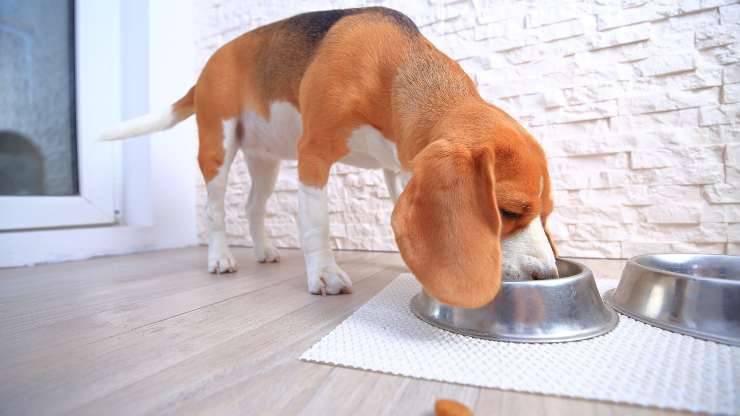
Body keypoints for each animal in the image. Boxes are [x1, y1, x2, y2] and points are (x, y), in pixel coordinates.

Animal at [102, 5, 556, 306]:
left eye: (548, 213)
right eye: (507, 211)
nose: (546, 275)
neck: (394, 72)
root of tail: (207, 66)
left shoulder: (400, 168)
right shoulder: (314, 155)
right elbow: (317, 225)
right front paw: (324, 274)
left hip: (265, 160)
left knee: (252, 206)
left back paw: (263, 250)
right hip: (218, 146)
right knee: (215, 210)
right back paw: (220, 257)